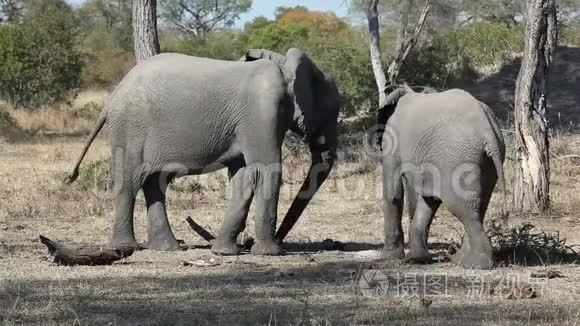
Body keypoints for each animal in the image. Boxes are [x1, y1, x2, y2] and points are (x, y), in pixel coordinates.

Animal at [66, 47, 340, 255]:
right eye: (332, 112)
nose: (249, 242)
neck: (283, 65)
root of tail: (111, 98)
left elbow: (243, 177)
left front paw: (225, 252)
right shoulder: (262, 111)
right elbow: (267, 169)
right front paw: (269, 253)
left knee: (155, 182)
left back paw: (168, 248)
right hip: (130, 129)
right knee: (130, 182)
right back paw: (127, 248)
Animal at [378, 85, 506, 268]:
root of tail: (487, 129)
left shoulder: (393, 141)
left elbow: (393, 194)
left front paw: (389, 257)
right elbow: (429, 198)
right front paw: (417, 259)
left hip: (458, 159)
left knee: (462, 207)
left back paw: (475, 264)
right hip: (485, 161)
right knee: (477, 207)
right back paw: (460, 260)